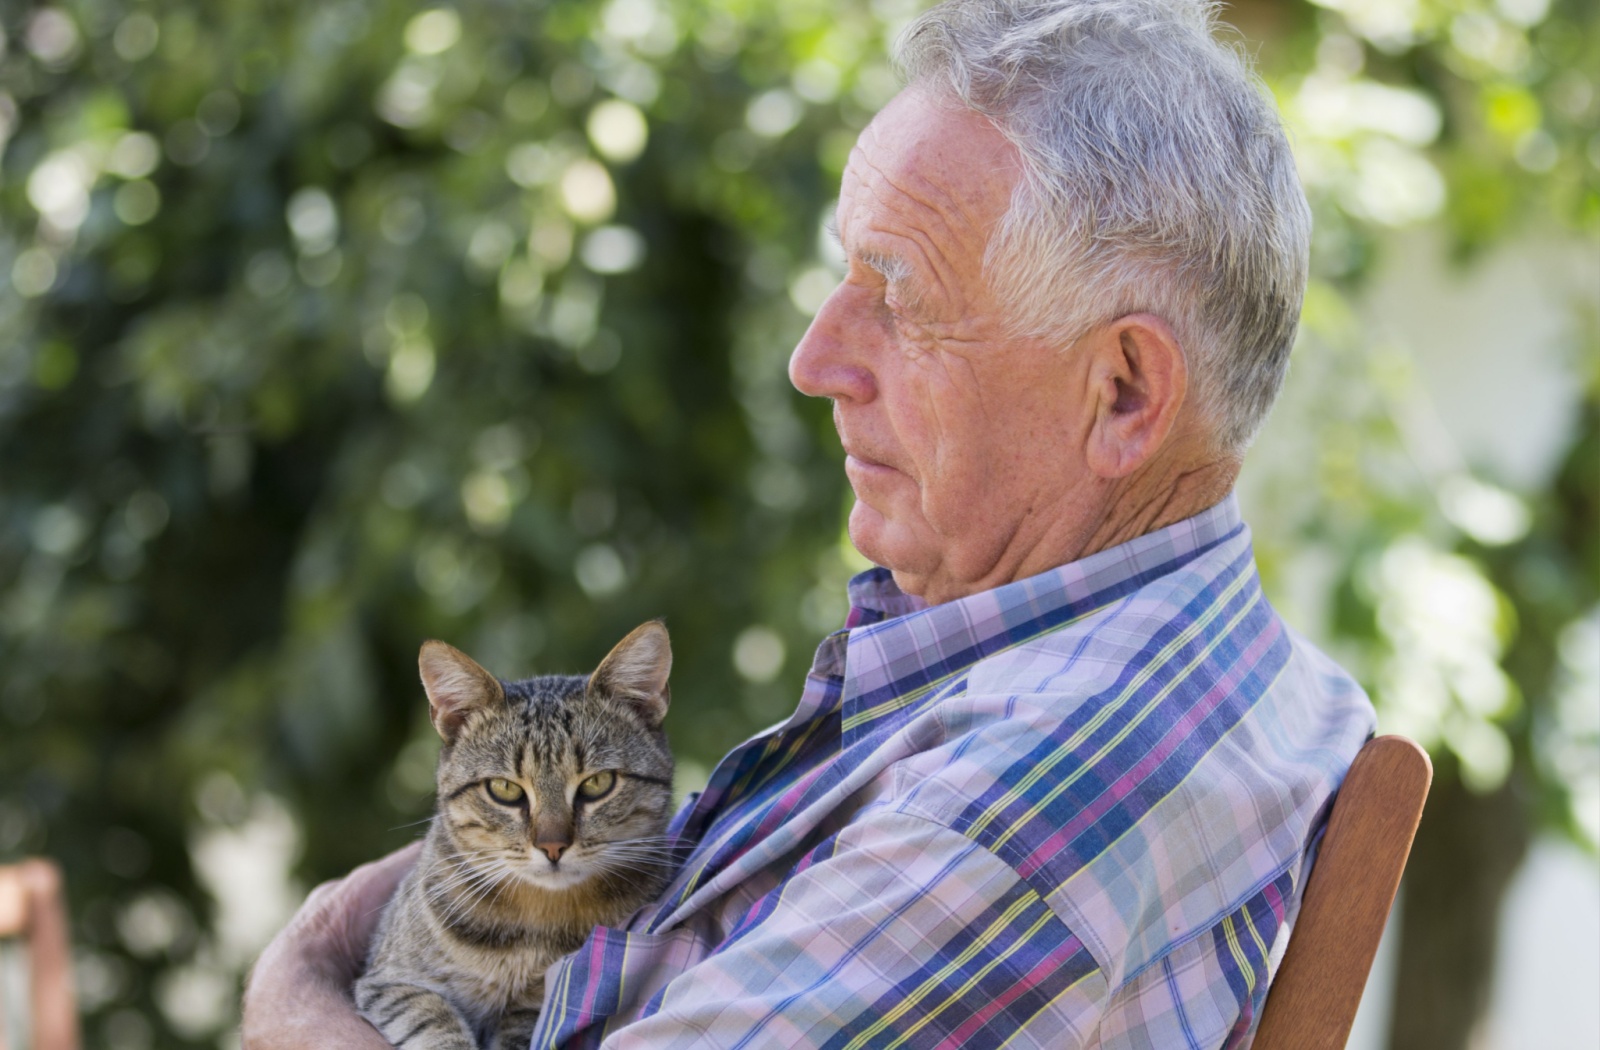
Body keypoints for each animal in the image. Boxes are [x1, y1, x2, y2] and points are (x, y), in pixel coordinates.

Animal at [356, 624, 675, 1050]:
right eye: (505, 789)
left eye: (597, 783)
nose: (552, 846)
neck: (534, 926)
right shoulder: (388, 982)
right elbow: (431, 1019)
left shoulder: (534, 1010)